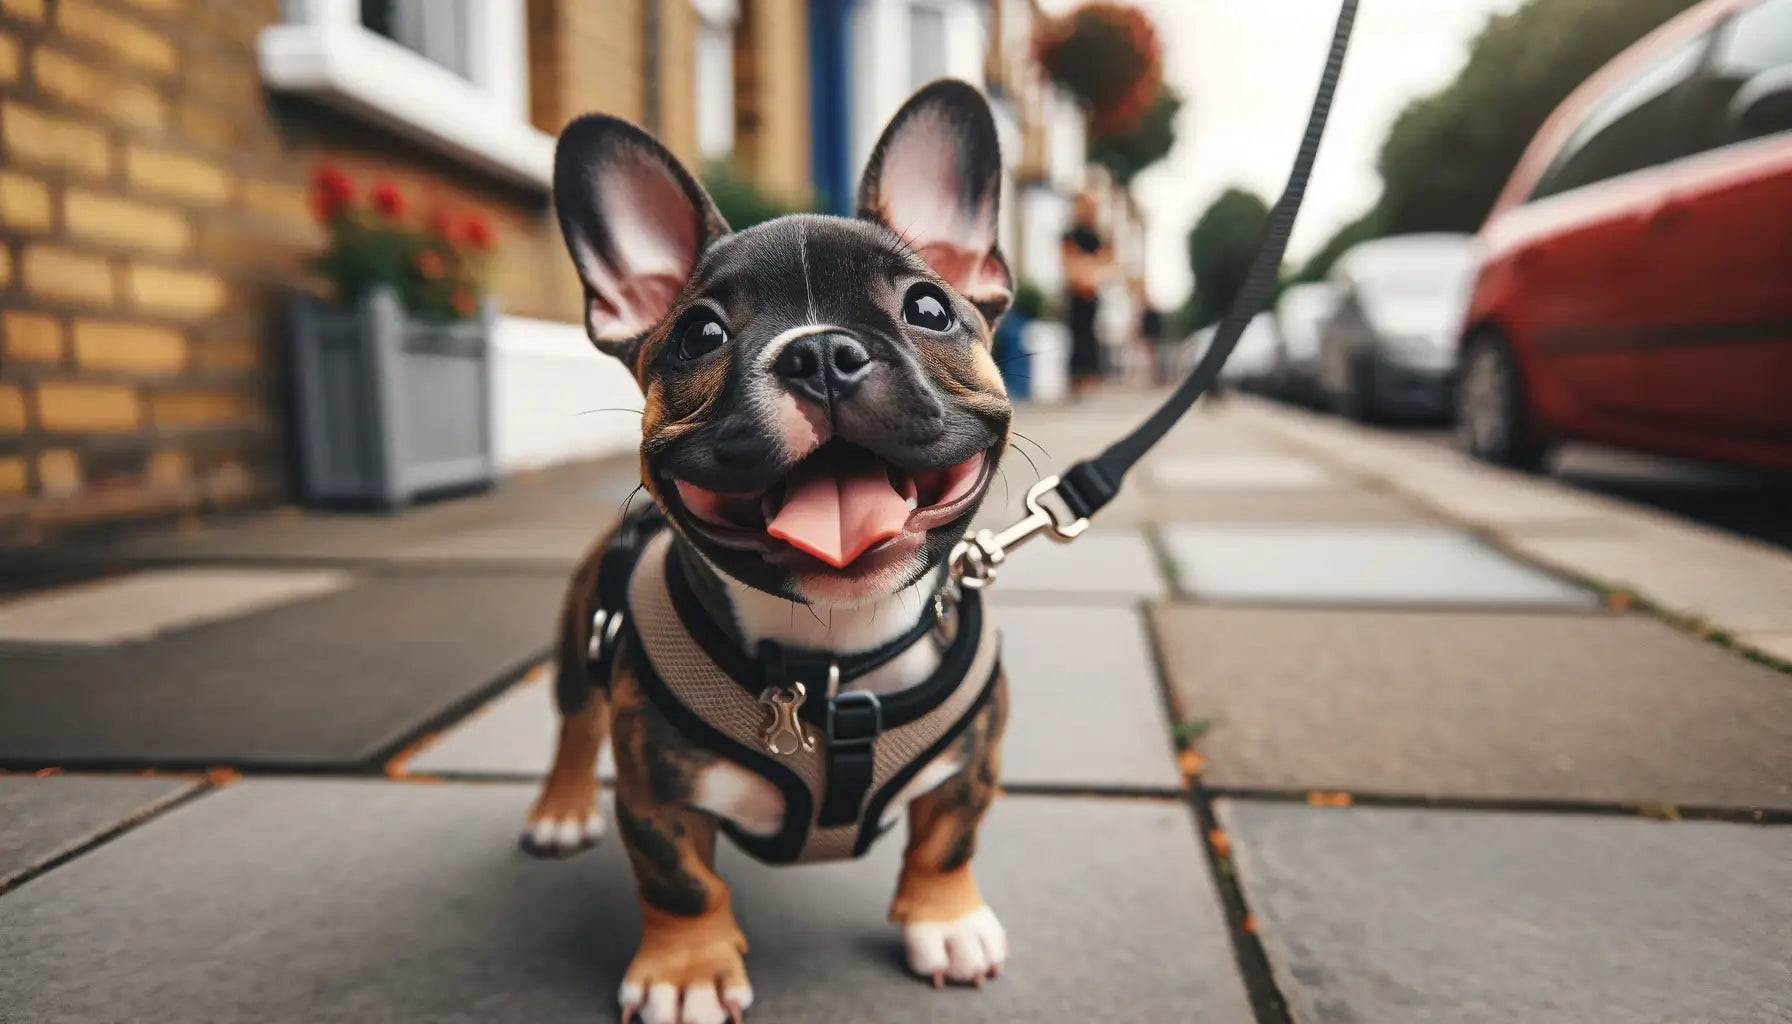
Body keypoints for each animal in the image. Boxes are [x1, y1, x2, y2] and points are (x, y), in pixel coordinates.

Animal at [523, 82, 1017, 1024]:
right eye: (699, 336)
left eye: (929, 309)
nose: (820, 350)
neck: (831, 657)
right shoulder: (657, 795)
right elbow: (681, 883)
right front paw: (686, 973)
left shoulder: (974, 758)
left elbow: (951, 835)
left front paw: (947, 920)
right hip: (577, 636)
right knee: (573, 721)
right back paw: (560, 811)